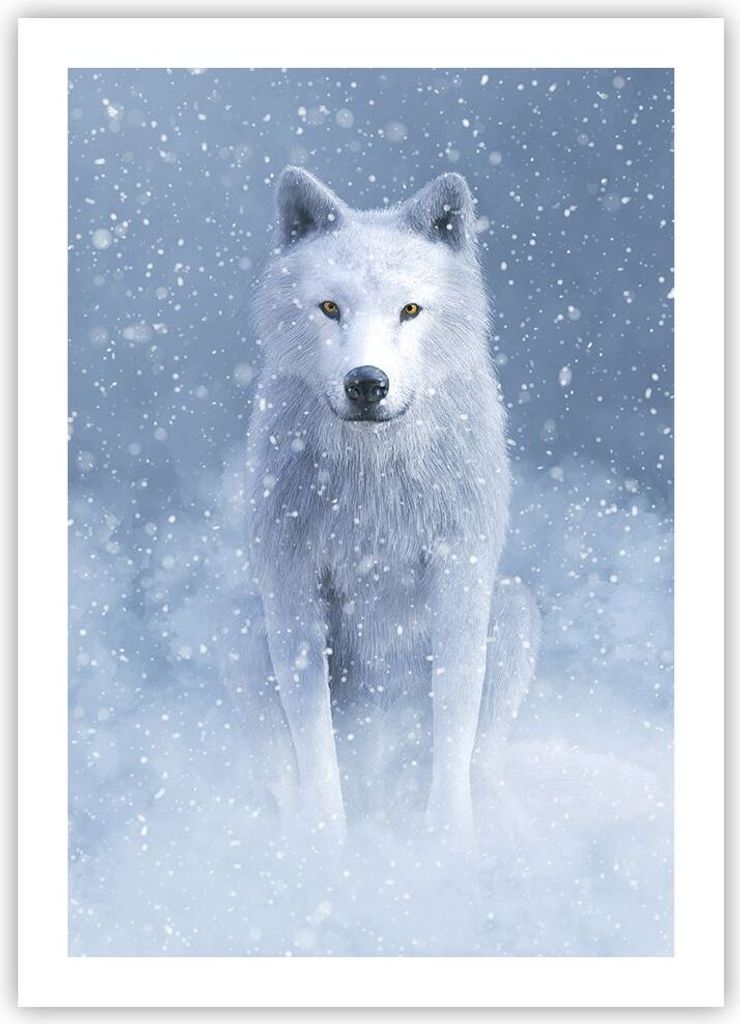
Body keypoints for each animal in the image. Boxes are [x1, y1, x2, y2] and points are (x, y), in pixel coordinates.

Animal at [225, 167, 538, 851]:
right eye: (330, 307)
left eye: (410, 309)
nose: (367, 383)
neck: (373, 479)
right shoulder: (291, 585)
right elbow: (313, 735)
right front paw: (325, 847)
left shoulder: (459, 578)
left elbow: (454, 720)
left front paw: (447, 845)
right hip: (242, 633)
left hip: (513, 610)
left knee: (483, 758)